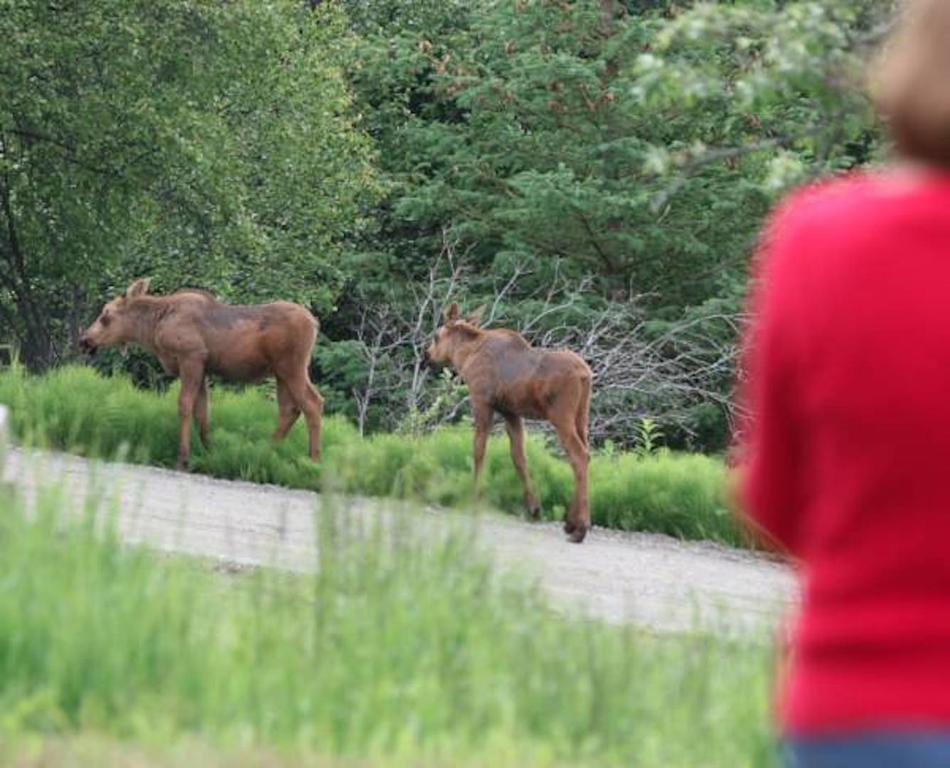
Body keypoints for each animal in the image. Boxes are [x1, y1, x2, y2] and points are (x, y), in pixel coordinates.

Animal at [79, 280, 324, 472]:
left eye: (106, 315)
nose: (84, 340)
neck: (154, 328)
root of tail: (315, 322)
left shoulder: (191, 357)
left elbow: (185, 405)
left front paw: (183, 459)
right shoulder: (203, 368)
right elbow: (203, 412)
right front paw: (209, 452)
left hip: (292, 366)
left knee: (313, 403)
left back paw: (313, 463)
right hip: (281, 372)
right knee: (289, 409)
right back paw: (264, 453)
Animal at [428, 304, 592, 544]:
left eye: (436, 336)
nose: (427, 354)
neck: (464, 356)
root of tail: (585, 374)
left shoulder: (482, 401)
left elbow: (479, 450)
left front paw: (475, 498)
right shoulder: (511, 412)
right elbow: (519, 456)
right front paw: (533, 507)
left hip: (561, 416)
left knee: (578, 456)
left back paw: (580, 528)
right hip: (581, 417)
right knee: (586, 454)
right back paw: (572, 523)